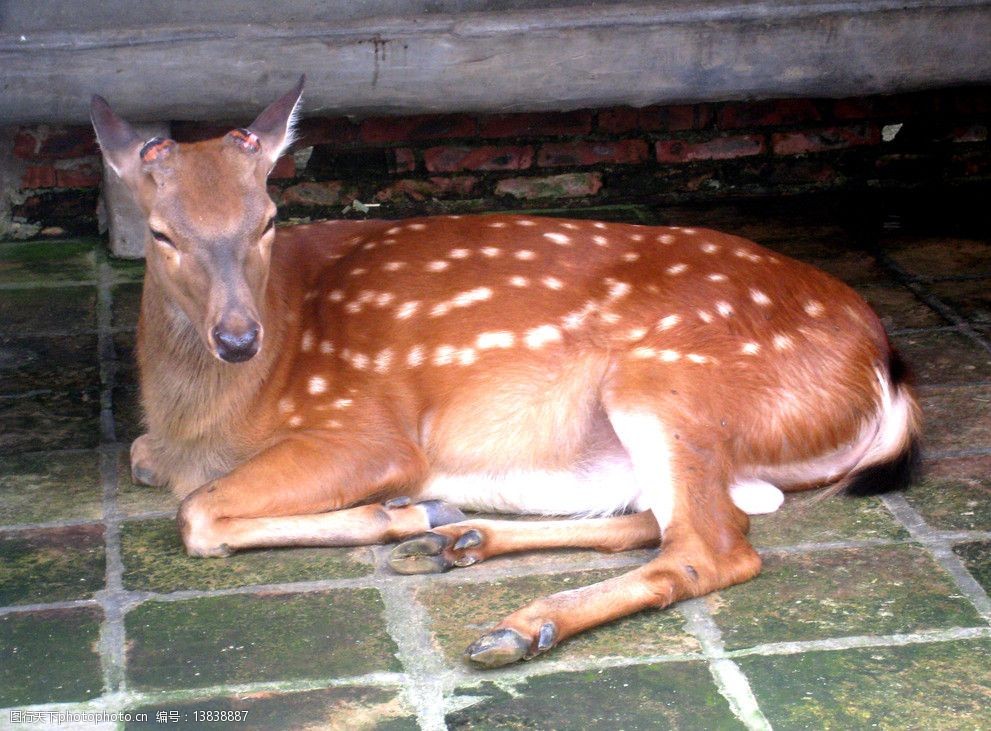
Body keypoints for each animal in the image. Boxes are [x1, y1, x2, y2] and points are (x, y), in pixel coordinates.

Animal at [93, 80, 924, 668]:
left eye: (267, 218)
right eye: (161, 233)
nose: (238, 337)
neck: (211, 417)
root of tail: (883, 367)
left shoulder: (366, 428)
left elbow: (197, 513)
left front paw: (393, 512)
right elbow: (146, 463)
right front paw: (414, 518)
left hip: (665, 377)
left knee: (713, 544)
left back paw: (516, 622)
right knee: (661, 520)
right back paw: (452, 540)